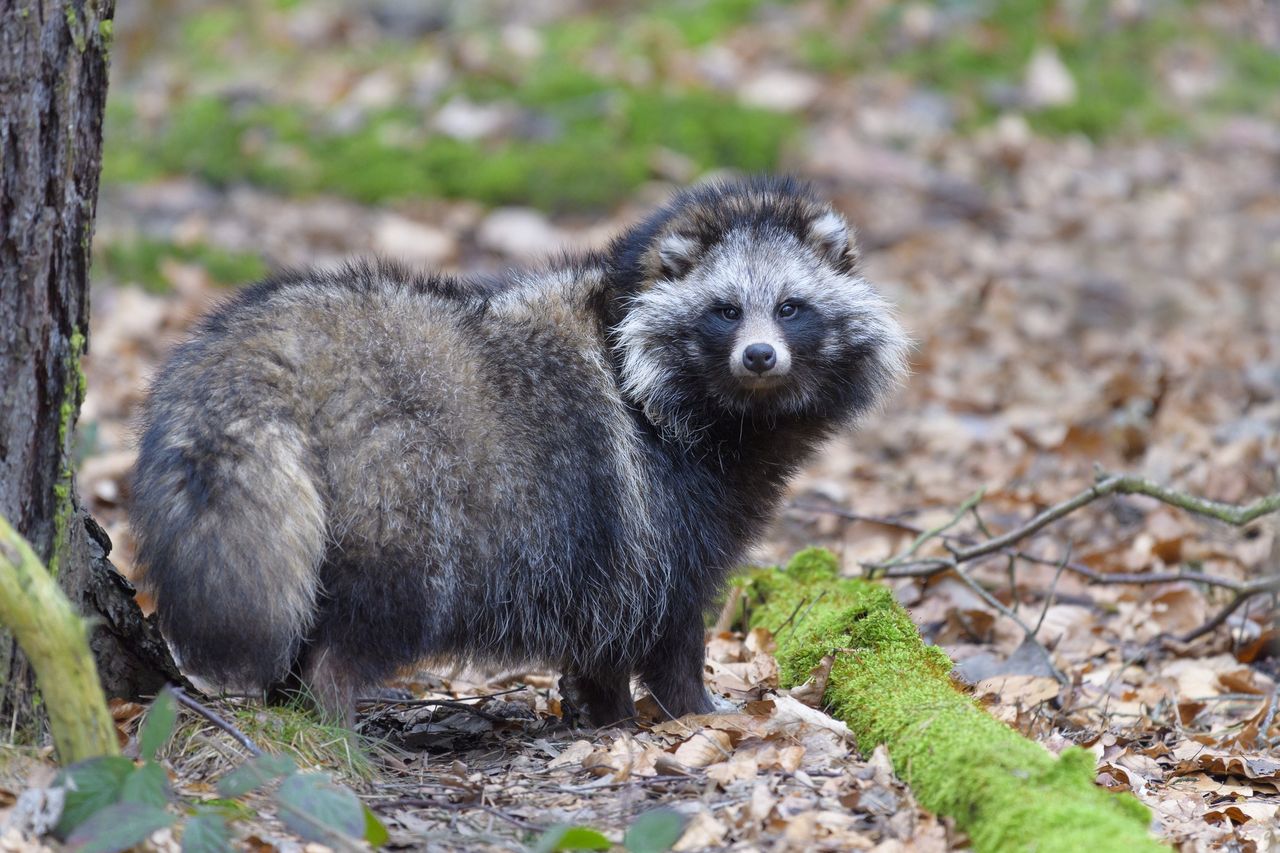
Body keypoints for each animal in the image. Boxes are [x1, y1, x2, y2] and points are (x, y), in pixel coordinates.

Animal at [132, 175, 911, 722]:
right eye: (724, 310)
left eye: (790, 307)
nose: (759, 356)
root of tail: (277, 350)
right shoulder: (662, 502)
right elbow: (666, 616)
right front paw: (693, 708)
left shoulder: (610, 545)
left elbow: (604, 630)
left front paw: (606, 712)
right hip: (403, 493)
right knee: (374, 616)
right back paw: (332, 714)